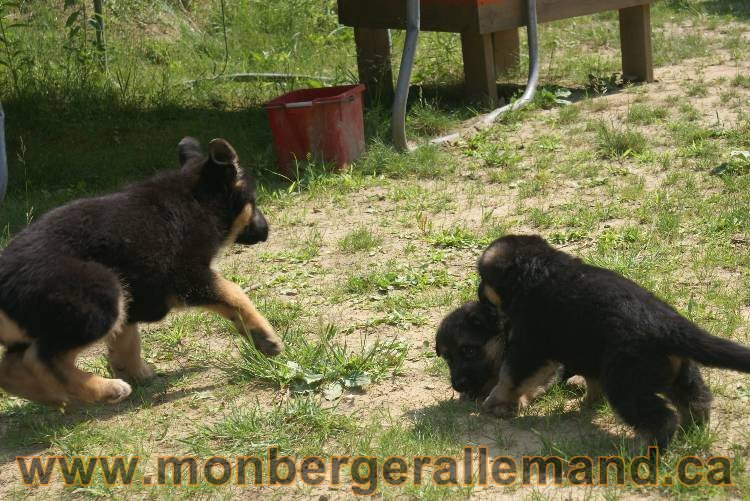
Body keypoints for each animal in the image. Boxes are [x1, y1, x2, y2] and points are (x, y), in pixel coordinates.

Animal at [0, 138, 284, 406]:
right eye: (253, 202)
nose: (267, 230)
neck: (197, 198)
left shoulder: (134, 298)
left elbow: (126, 341)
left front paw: (135, 372)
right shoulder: (188, 277)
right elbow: (234, 293)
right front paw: (264, 336)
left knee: (10, 368)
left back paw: (54, 397)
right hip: (101, 294)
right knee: (41, 359)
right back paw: (105, 389)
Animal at [482, 234, 750, 450]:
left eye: (483, 279)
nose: (479, 295)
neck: (540, 270)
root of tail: (668, 326)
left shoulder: (528, 347)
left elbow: (509, 377)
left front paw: (494, 403)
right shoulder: (587, 351)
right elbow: (592, 382)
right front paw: (587, 404)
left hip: (626, 383)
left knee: (662, 419)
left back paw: (646, 450)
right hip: (677, 370)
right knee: (697, 399)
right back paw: (692, 431)